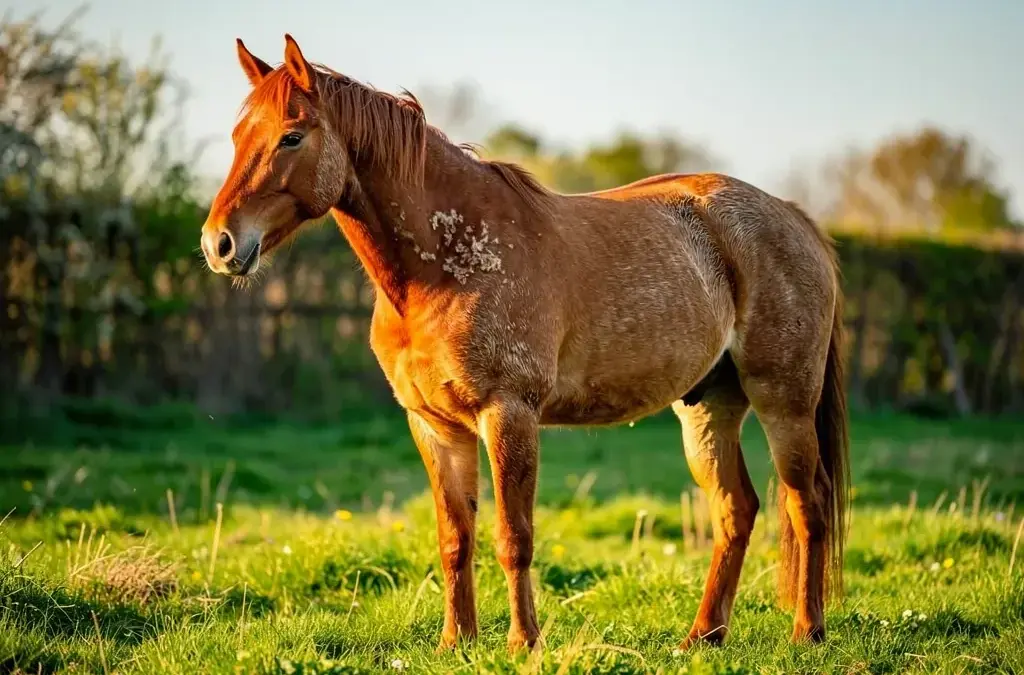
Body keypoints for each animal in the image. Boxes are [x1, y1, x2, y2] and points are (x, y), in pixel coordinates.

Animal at [200, 34, 850, 652]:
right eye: (236, 135)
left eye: (291, 136)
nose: (219, 245)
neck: (444, 266)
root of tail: (793, 217)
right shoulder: (434, 426)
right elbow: (455, 538)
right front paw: (455, 641)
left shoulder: (508, 414)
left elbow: (514, 537)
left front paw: (522, 643)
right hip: (709, 407)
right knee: (736, 510)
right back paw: (703, 636)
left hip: (783, 402)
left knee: (808, 503)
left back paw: (807, 631)